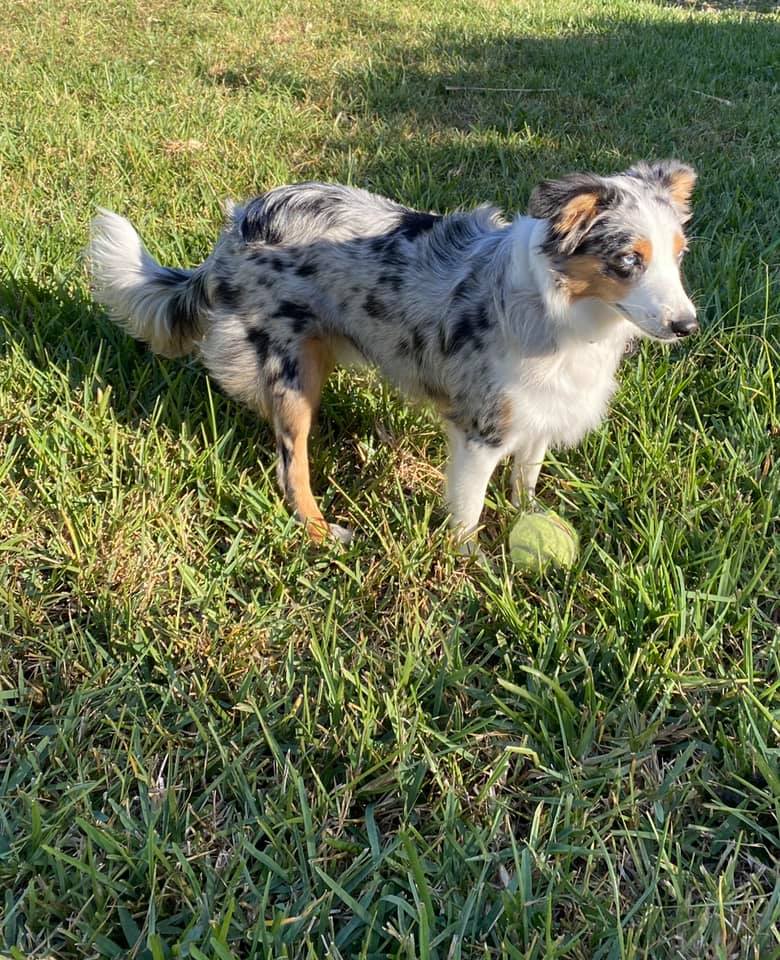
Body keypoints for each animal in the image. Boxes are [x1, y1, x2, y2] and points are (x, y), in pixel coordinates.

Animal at [88, 161, 696, 544]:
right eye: (628, 261)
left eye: (678, 255)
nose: (687, 325)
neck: (563, 309)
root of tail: (238, 225)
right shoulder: (479, 430)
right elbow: (469, 509)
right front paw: (469, 567)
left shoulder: (540, 410)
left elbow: (526, 476)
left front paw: (530, 516)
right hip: (291, 373)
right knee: (291, 468)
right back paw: (320, 531)